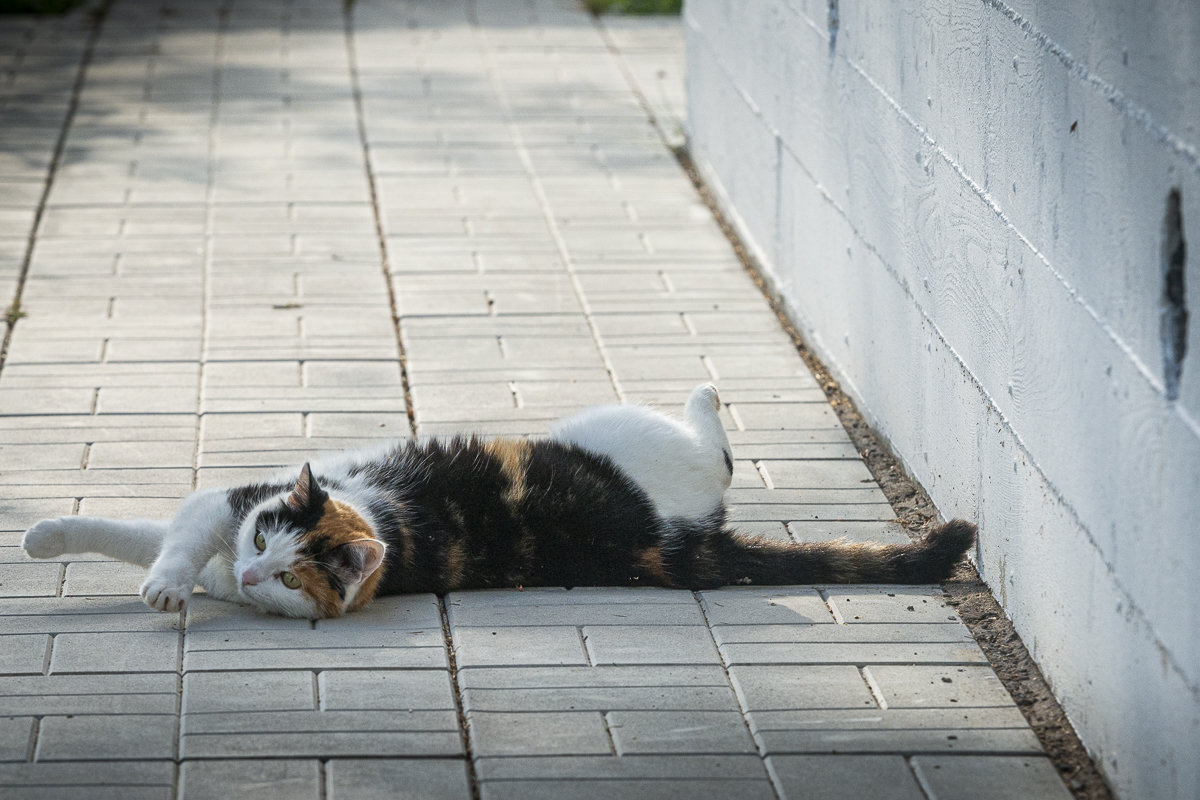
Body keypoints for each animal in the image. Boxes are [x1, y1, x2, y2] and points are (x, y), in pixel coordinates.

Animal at [18, 383, 974, 623]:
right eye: (264, 548)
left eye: (292, 578)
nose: (250, 577)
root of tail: (667, 547)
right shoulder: (230, 511)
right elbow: (134, 531)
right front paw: (46, 536)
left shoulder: (227, 502)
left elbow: (171, 539)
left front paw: (162, 588)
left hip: (610, 429)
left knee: (718, 450)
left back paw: (705, 395)